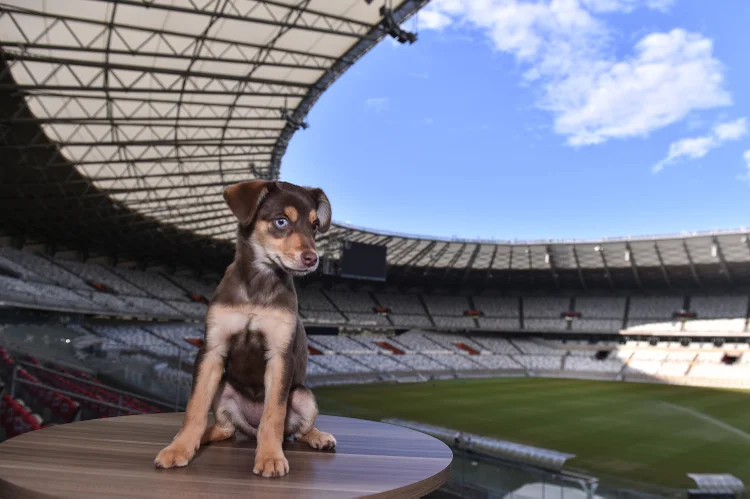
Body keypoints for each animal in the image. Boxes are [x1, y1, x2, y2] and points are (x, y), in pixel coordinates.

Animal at [154, 182, 336, 478]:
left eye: (314, 226)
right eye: (281, 221)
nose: (312, 259)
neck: (258, 285)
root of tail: (249, 427)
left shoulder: (279, 355)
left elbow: (273, 415)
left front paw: (270, 457)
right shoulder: (211, 351)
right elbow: (194, 408)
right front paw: (180, 448)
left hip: (303, 396)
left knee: (296, 431)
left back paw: (318, 437)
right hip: (223, 389)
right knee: (225, 428)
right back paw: (204, 436)